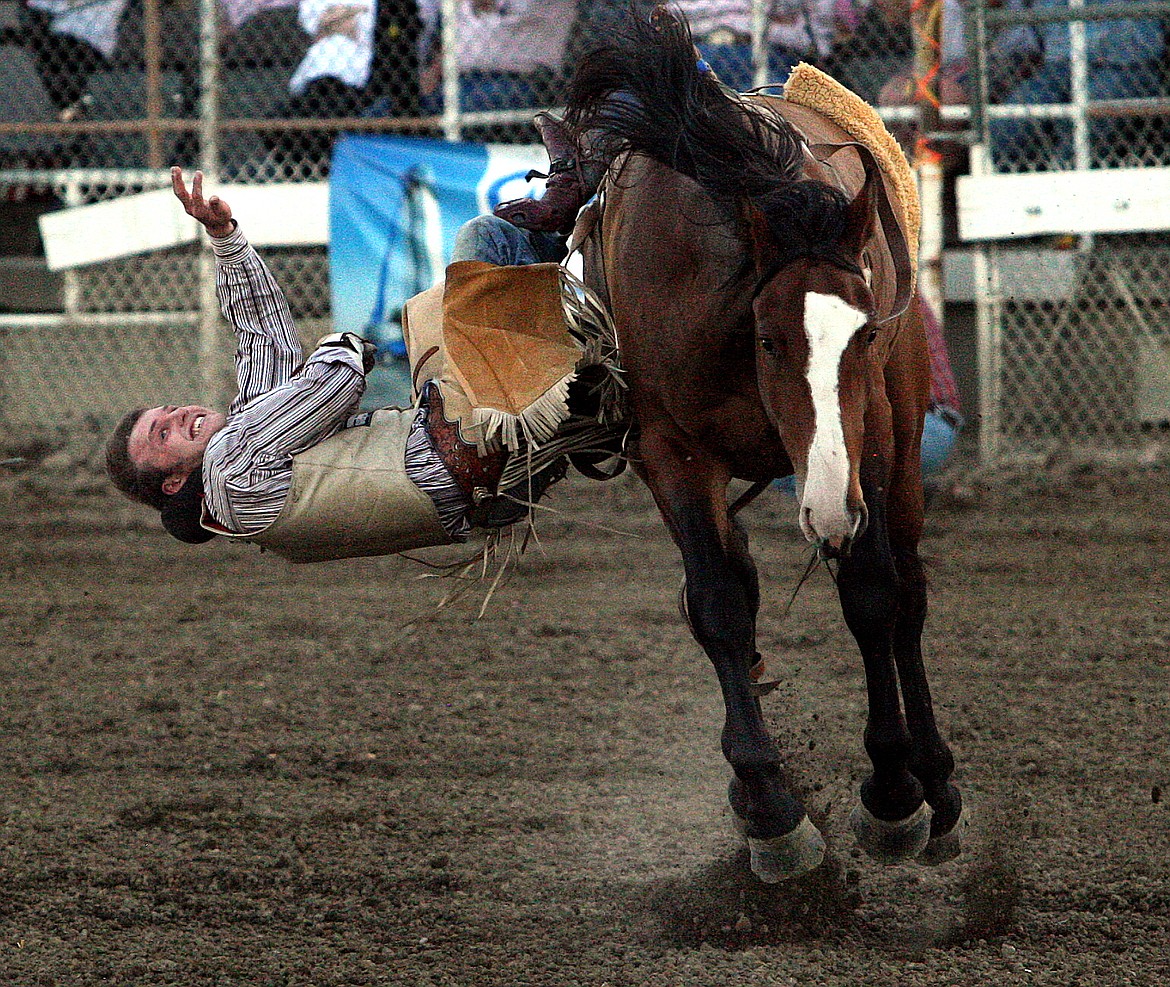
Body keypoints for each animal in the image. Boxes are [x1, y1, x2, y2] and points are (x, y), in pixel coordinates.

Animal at [563, 11, 959, 884]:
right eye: (769, 339)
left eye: (864, 333)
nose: (827, 507)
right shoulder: (670, 450)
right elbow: (717, 602)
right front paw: (773, 810)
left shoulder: (870, 438)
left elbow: (873, 595)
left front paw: (891, 793)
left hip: (903, 441)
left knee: (910, 591)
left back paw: (938, 783)